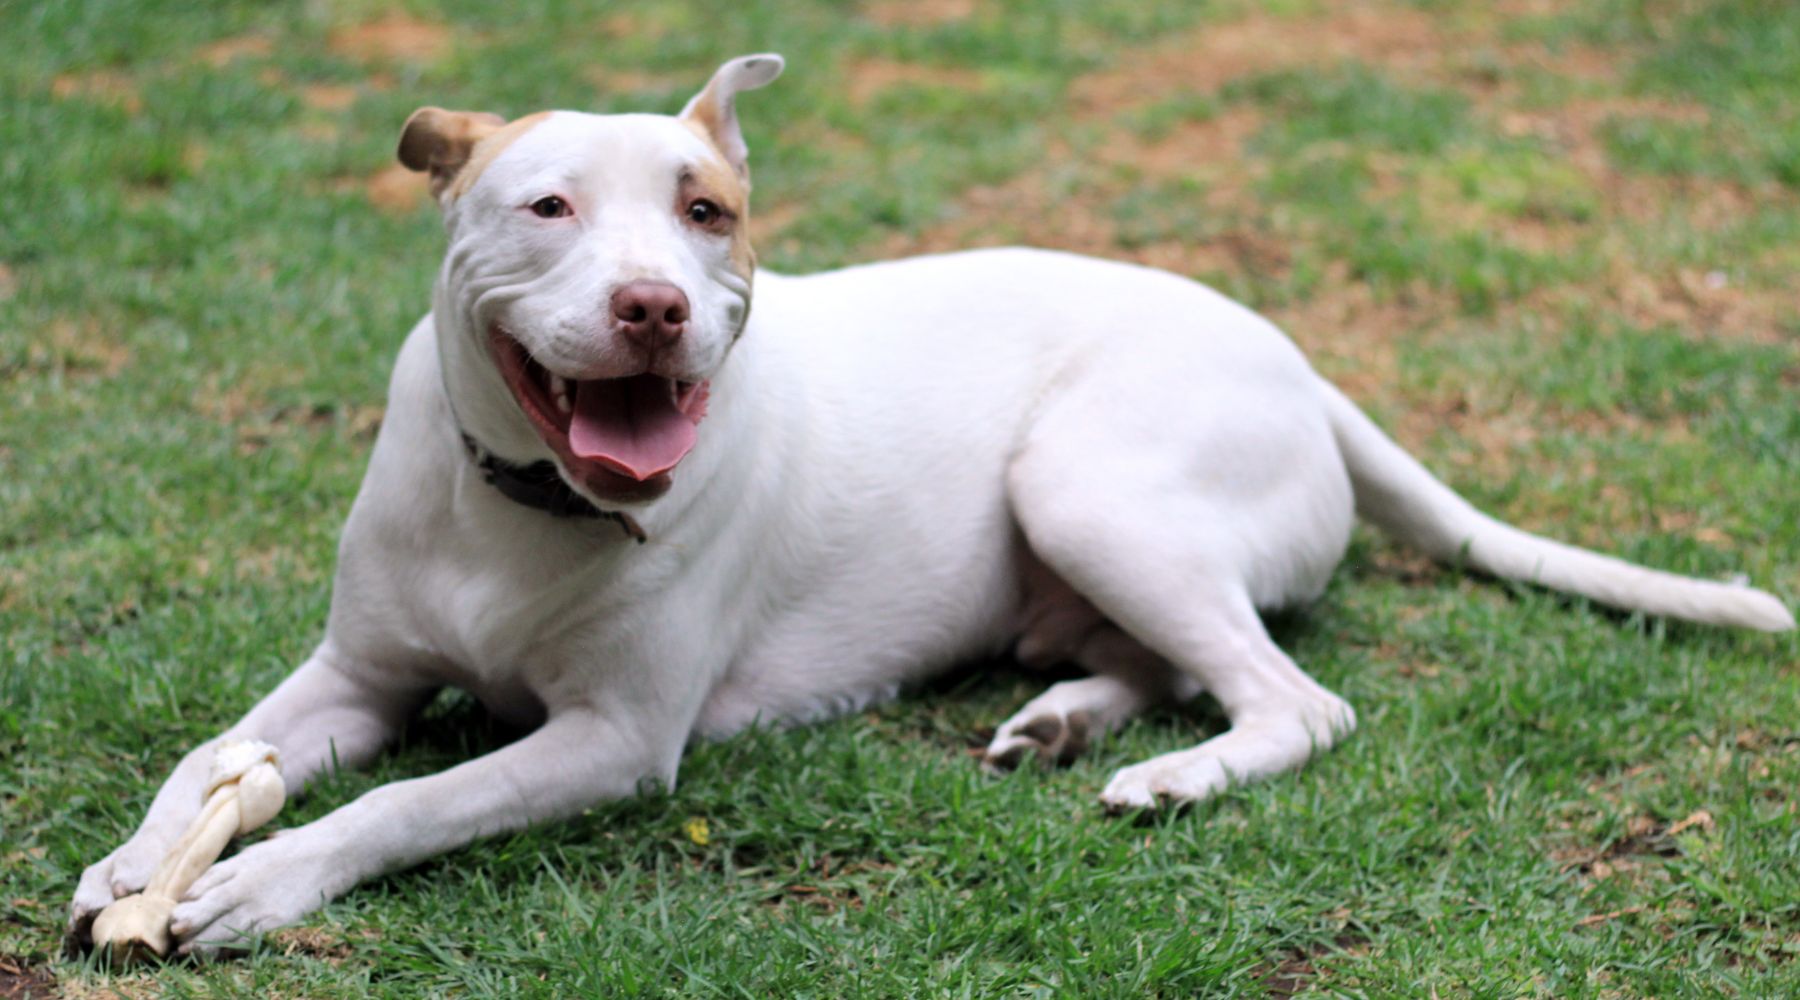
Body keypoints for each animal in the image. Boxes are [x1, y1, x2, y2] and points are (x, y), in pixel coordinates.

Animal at [63, 52, 1792, 949]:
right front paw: (136, 865)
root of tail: (1299, 361)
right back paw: (1068, 722)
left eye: (707, 214)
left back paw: (1170, 777)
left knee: (1296, 701)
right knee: (1167, 661)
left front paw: (261, 878)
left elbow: (411, 802)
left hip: (1090, 487)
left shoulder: (613, 743)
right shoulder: (350, 676)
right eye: (545, 207)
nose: (654, 308)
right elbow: (212, 757)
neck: (525, 506)